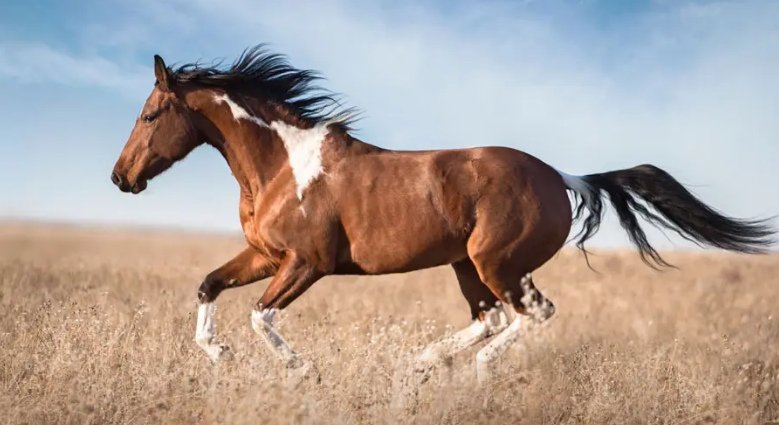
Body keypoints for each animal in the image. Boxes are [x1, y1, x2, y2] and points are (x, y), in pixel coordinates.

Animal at [108, 44, 772, 382]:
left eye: (149, 114)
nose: (120, 178)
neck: (282, 165)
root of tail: (562, 177)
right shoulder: (265, 255)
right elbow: (208, 286)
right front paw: (217, 354)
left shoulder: (307, 262)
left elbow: (260, 316)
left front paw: (301, 370)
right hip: (465, 265)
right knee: (492, 317)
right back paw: (422, 361)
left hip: (496, 262)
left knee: (530, 315)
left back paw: (474, 372)